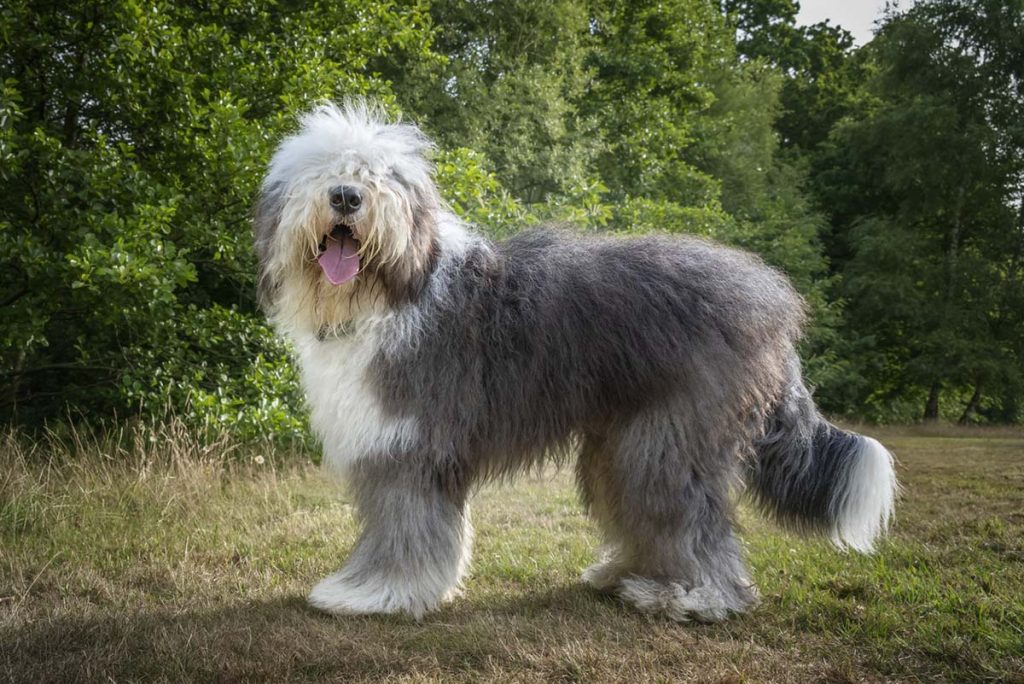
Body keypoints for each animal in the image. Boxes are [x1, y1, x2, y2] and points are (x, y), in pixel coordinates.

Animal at [253, 104, 897, 622]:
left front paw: (375, 595)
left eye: (381, 176)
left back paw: (696, 597)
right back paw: (629, 575)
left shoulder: (409, 445)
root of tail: (773, 307)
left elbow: (404, 527)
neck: (392, 293)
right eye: (320, 171)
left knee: (689, 517)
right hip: (624, 436)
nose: (345, 196)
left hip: (671, 437)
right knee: (641, 509)